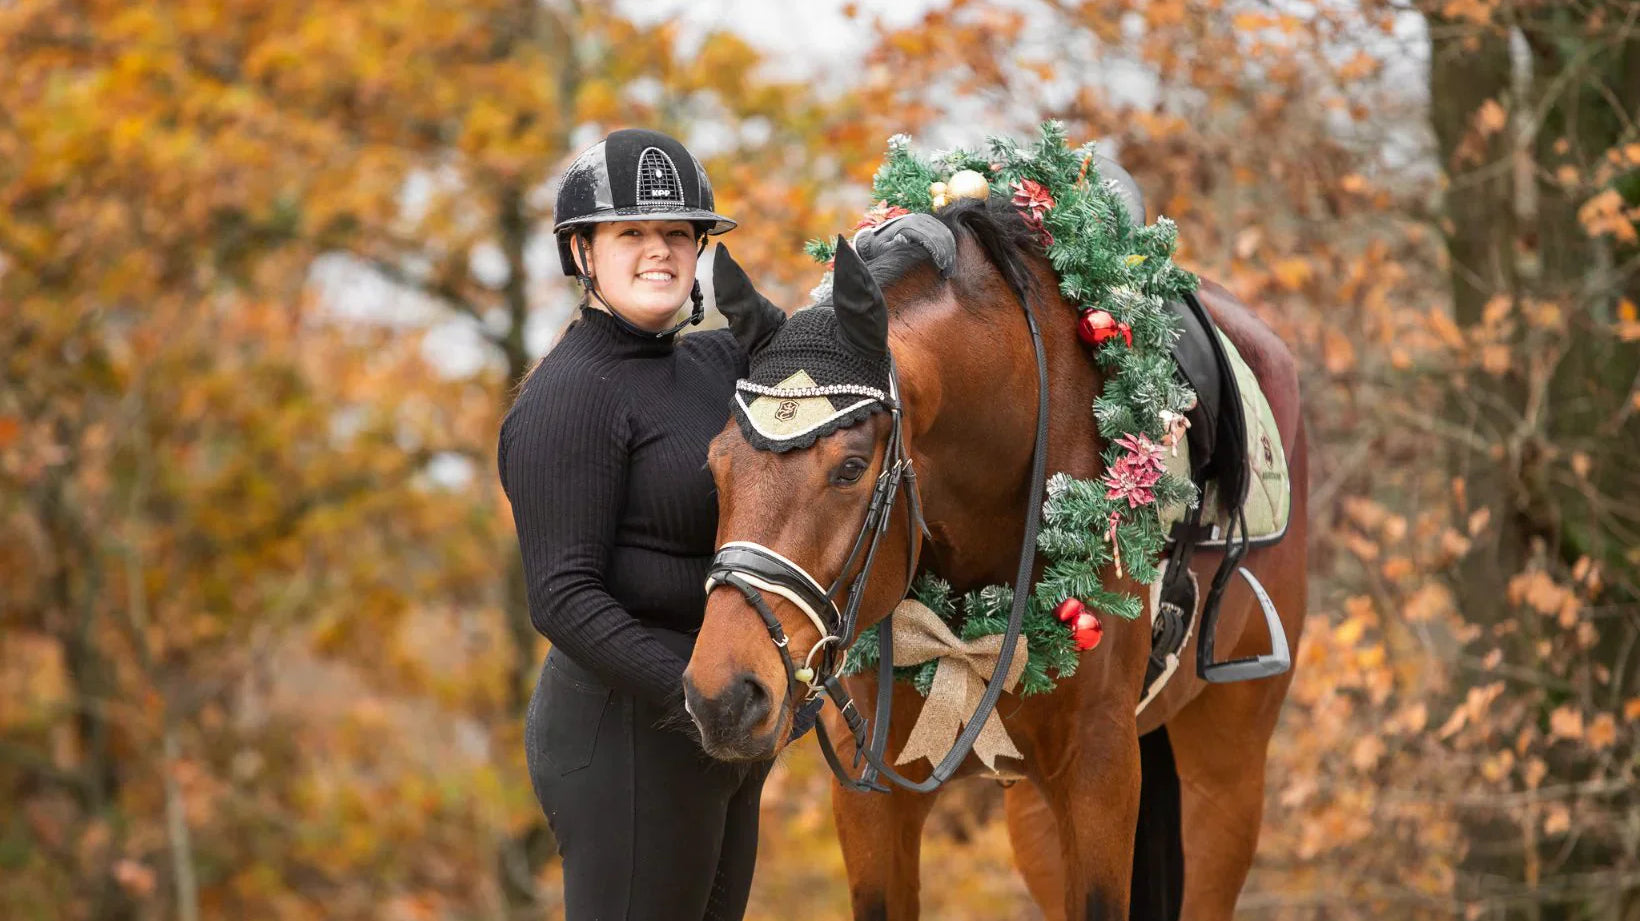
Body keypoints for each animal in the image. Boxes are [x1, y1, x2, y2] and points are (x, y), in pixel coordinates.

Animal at [682, 194, 1308, 921]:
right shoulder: (874, 791)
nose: (723, 697)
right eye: (717, 463)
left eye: (850, 467)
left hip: (1223, 776)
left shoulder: (1099, 770)